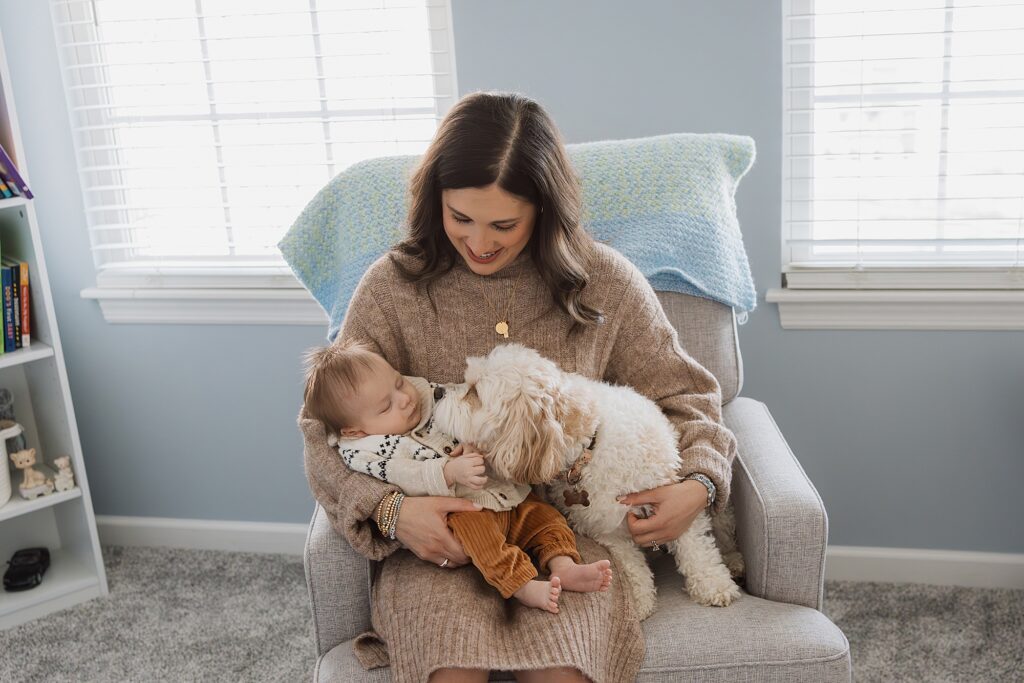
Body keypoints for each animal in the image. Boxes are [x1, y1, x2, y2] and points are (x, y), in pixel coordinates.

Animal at [434, 344, 745, 618]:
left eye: (474, 392)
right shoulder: (607, 530)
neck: (589, 448)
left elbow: (696, 548)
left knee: (724, 531)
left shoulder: (673, 502)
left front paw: (714, 586)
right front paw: (640, 601)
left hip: (721, 512)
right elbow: (631, 566)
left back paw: (734, 561)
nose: (437, 391)